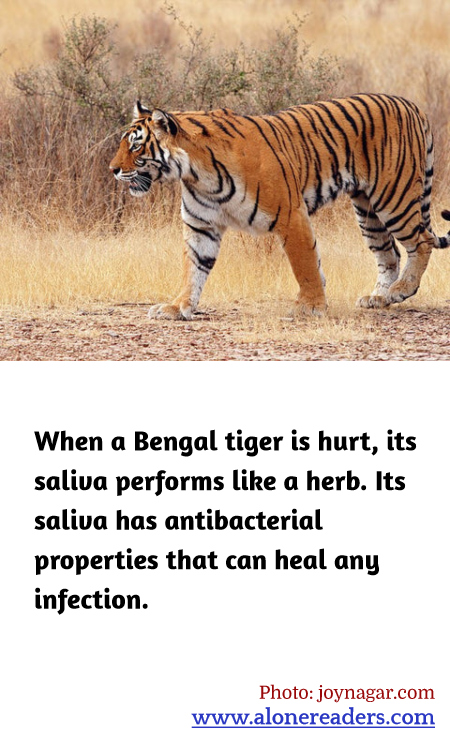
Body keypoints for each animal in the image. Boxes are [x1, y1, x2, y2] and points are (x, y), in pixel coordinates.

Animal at [109, 95, 450, 320]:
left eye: (136, 146)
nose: (112, 169)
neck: (196, 173)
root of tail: (411, 104)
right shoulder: (201, 226)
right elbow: (193, 268)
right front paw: (178, 306)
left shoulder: (291, 215)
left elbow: (305, 264)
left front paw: (310, 307)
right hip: (367, 209)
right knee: (388, 253)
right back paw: (378, 298)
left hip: (394, 197)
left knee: (421, 241)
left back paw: (401, 290)